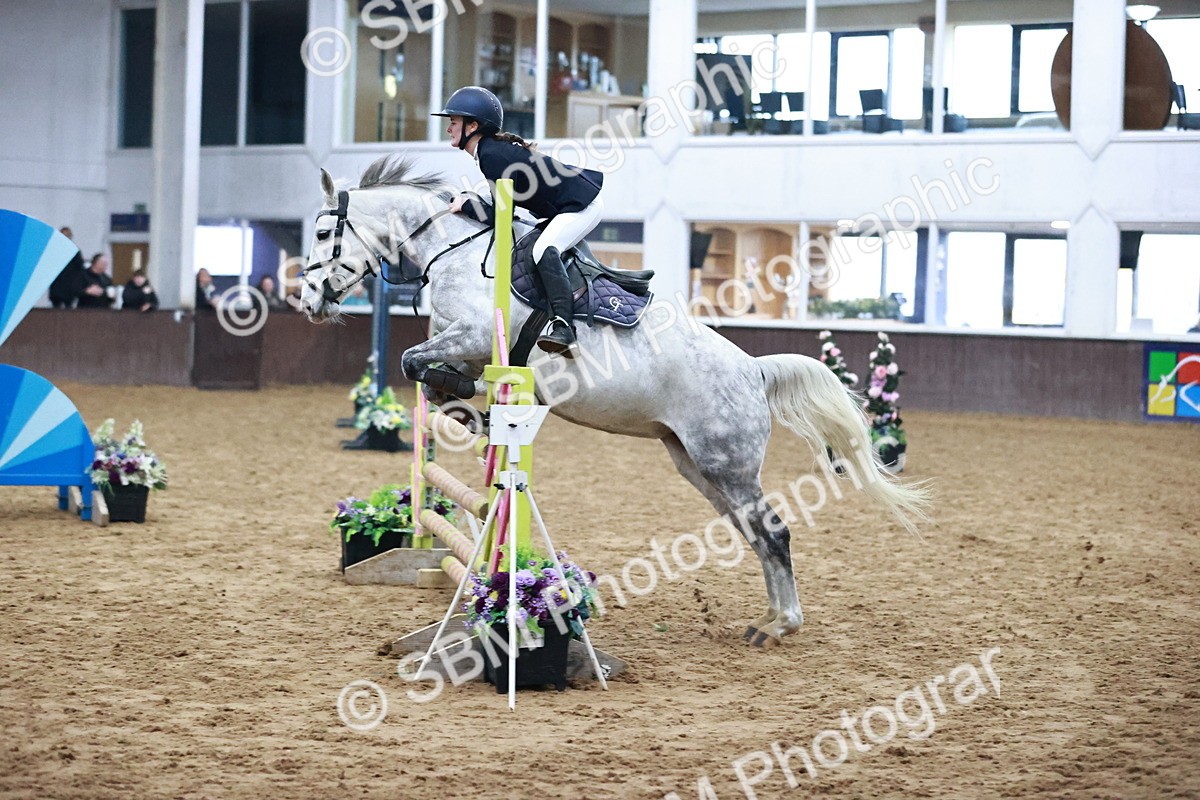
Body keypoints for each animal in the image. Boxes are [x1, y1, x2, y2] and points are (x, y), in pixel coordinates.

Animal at [300, 156, 930, 647]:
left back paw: (782, 625)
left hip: (725, 463)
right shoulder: (467, 347)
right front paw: (467, 408)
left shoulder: (475, 336)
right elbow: (431, 374)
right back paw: (769, 619)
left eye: (323, 235)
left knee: (773, 532)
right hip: (697, 465)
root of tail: (753, 370)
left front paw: (472, 405)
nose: (307, 301)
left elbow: (415, 360)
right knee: (754, 531)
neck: (451, 250)